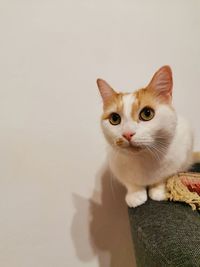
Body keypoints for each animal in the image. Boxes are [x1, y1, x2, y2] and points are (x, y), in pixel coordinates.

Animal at [97, 66, 194, 208]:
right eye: (114, 118)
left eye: (147, 113)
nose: (127, 134)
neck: (142, 158)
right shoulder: (117, 167)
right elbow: (131, 183)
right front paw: (136, 195)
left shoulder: (177, 161)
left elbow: (162, 178)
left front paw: (159, 191)